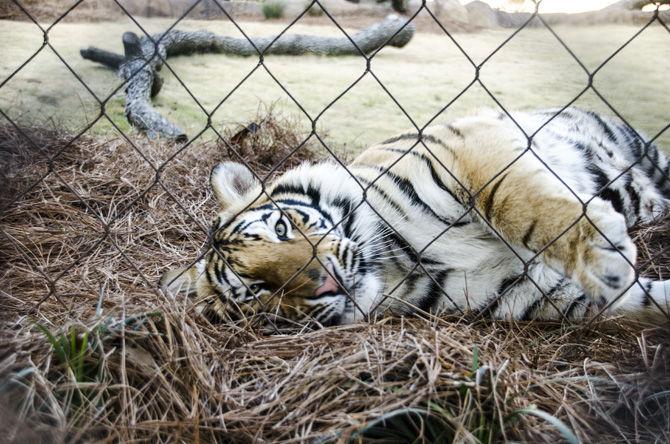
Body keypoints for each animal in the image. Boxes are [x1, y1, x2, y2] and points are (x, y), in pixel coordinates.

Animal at [161, 108, 670, 326]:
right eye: (256, 291)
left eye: (282, 228)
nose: (327, 285)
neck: (399, 264)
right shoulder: (537, 293)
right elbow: (645, 302)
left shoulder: (469, 149)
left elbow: (519, 199)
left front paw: (603, 256)